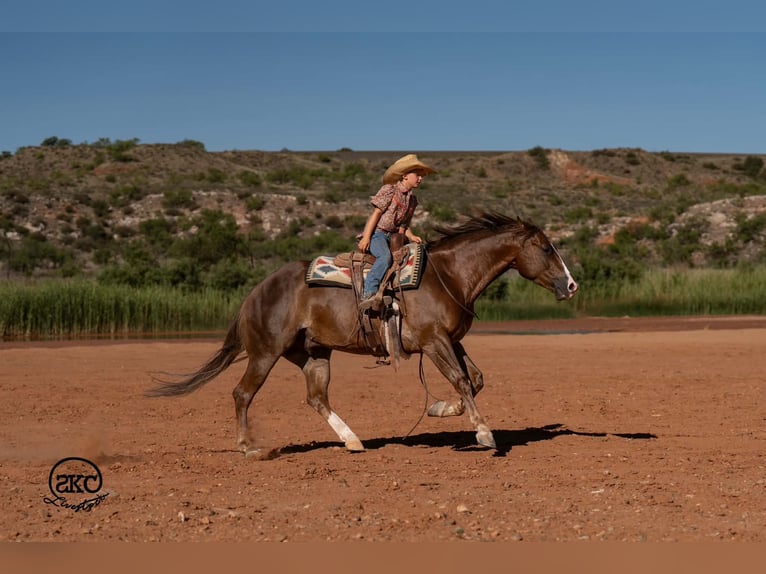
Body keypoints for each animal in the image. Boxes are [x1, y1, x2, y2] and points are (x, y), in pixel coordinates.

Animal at [148, 212, 578, 456]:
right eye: (545, 247)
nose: (571, 285)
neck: (449, 275)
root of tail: (256, 291)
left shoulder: (451, 340)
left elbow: (475, 379)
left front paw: (441, 410)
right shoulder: (434, 341)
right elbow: (461, 379)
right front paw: (484, 433)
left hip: (313, 353)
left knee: (316, 397)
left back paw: (353, 441)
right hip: (265, 353)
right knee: (242, 394)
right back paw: (248, 447)